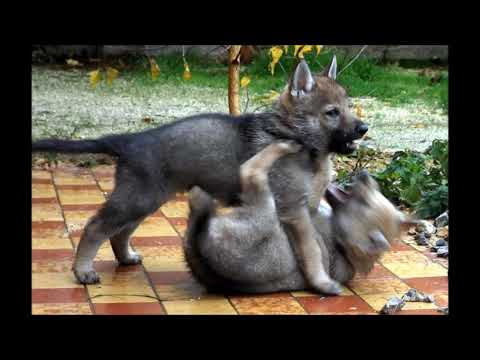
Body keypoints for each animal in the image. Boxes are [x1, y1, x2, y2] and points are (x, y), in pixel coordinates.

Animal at [31, 55, 368, 292]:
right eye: (332, 112)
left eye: (349, 106)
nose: (364, 128)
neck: (301, 142)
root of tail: (129, 140)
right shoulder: (293, 211)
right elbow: (311, 250)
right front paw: (321, 282)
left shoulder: (307, 209)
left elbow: (318, 244)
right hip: (136, 200)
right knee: (95, 227)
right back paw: (83, 271)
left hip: (144, 200)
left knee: (119, 232)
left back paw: (125, 258)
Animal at [184, 142, 408, 294]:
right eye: (374, 191)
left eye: (366, 203)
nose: (364, 175)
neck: (341, 244)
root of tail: (200, 246)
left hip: (265, 207)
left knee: (250, 171)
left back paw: (283, 146)